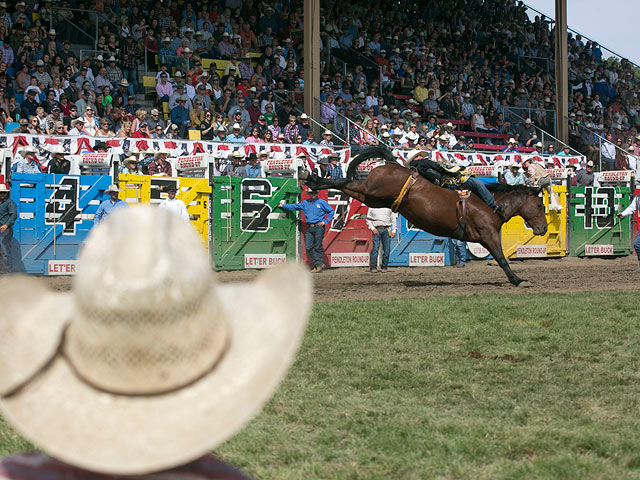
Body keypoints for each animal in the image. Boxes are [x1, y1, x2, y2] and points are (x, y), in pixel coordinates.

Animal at [306, 147, 552, 284]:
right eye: (541, 205)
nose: (544, 228)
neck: (490, 203)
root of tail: (393, 163)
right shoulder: (488, 235)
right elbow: (501, 259)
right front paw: (517, 280)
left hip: (373, 197)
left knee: (348, 186)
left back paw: (313, 181)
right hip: (372, 190)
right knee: (346, 182)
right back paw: (312, 180)